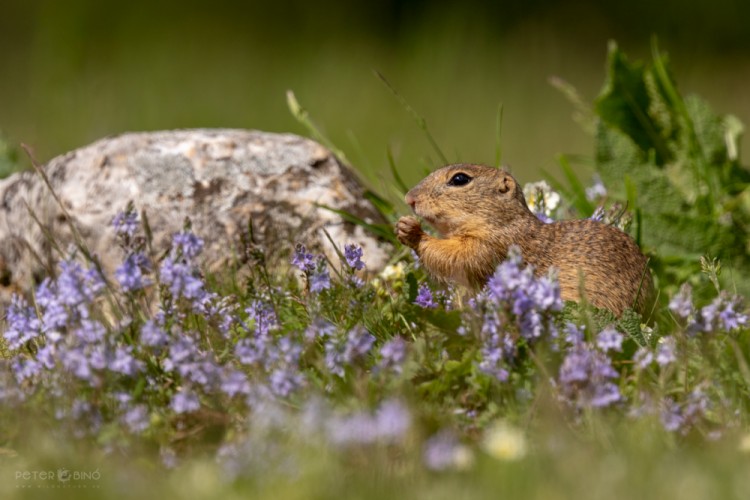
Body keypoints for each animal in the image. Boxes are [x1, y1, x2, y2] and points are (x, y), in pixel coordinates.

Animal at [396, 164, 656, 314]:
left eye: (460, 179)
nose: (409, 198)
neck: (503, 221)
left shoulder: (491, 246)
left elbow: (456, 256)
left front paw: (411, 231)